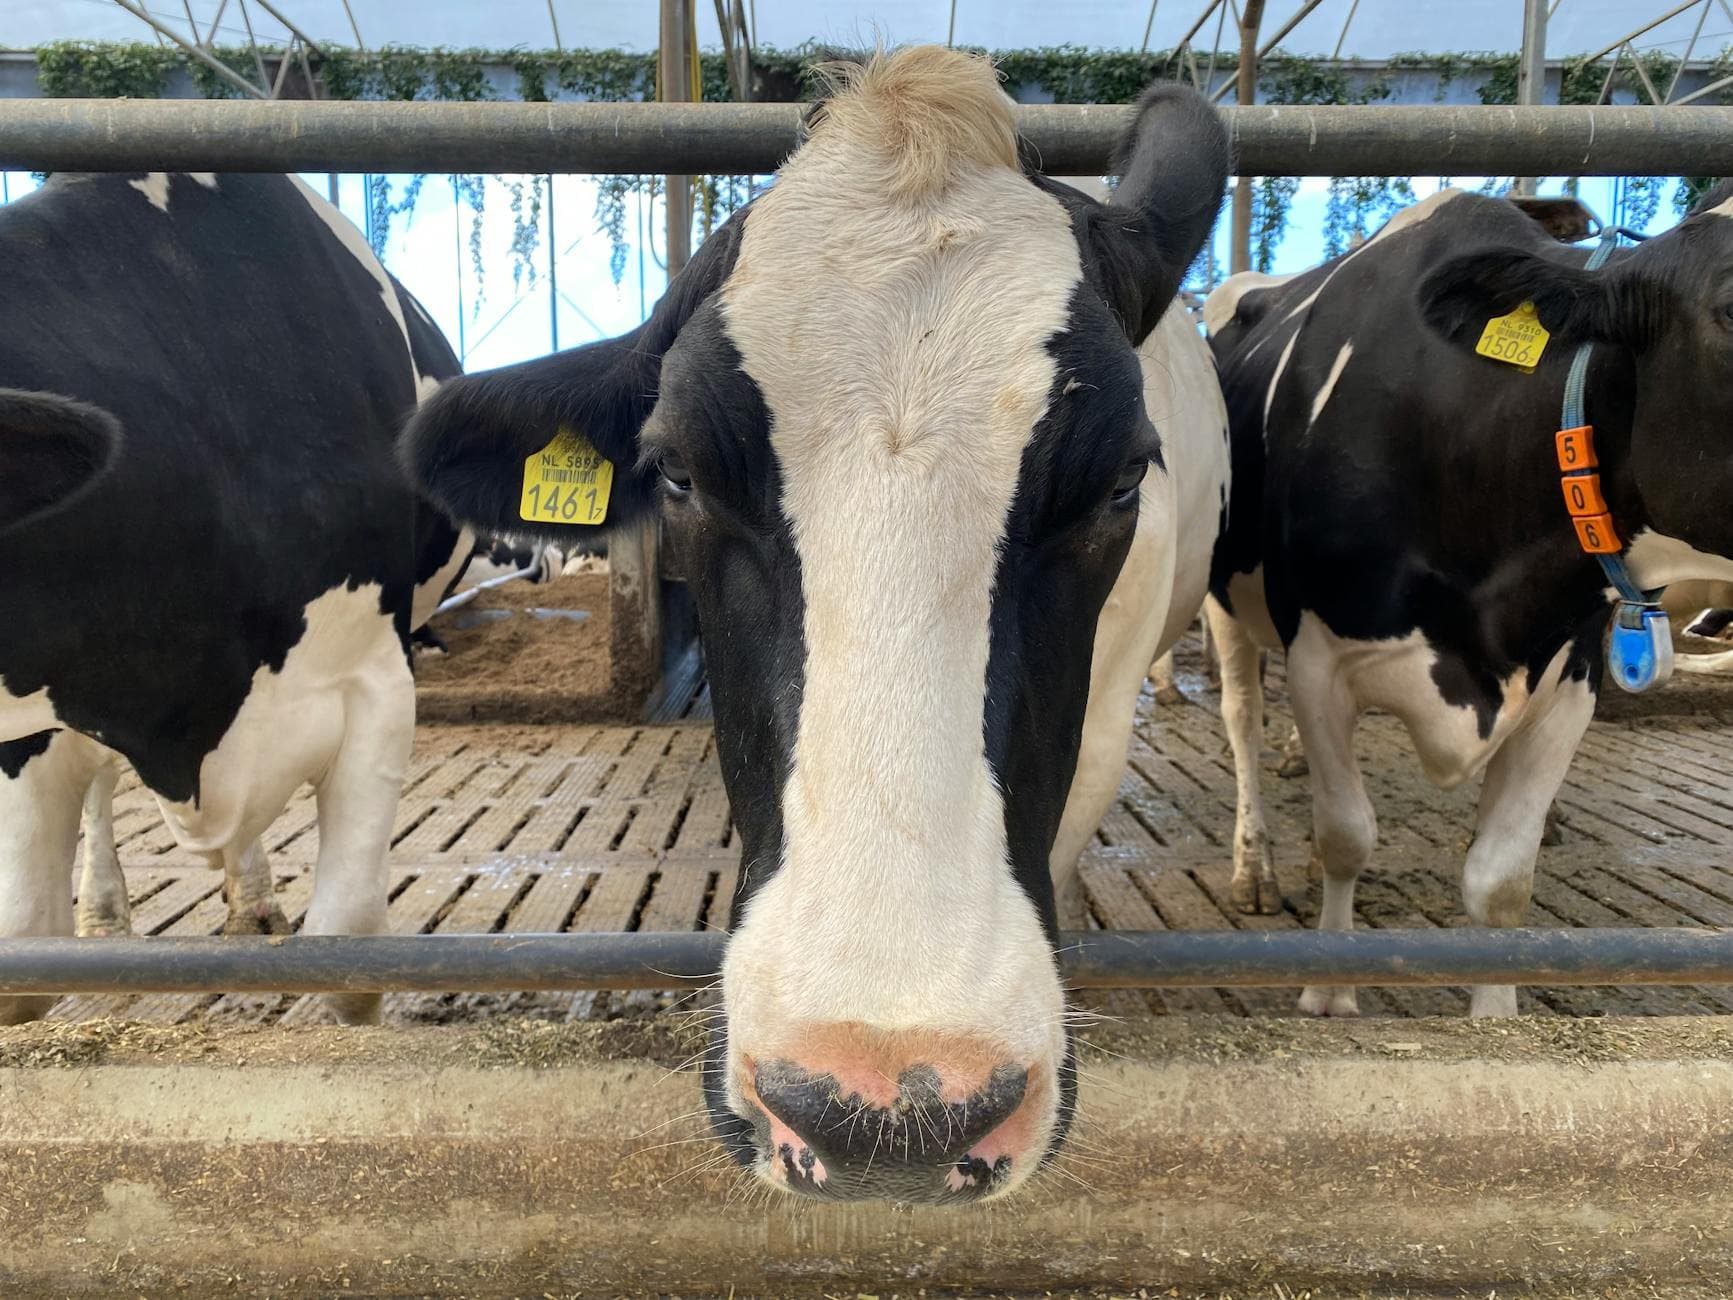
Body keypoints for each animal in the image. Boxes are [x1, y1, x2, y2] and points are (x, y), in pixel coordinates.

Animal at [0, 170, 471, 1023]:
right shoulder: (32, 718)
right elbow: (23, 941)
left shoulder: (374, 680)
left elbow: (349, 947)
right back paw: (107, 912)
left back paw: (248, 896)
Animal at [1205, 180, 1733, 1018]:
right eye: (1732, 309)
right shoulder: (1321, 661)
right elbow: (1345, 835)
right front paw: (1328, 991)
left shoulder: (1567, 678)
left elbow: (1501, 880)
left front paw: (1495, 1017)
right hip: (1225, 605)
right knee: (1241, 719)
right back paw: (1253, 863)